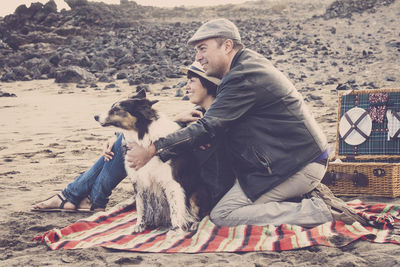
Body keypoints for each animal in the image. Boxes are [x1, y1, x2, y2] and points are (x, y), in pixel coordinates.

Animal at [94, 91, 206, 233]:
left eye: (117, 109)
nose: (95, 116)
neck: (142, 138)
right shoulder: (139, 181)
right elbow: (141, 206)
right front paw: (140, 225)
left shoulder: (172, 183)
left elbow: (175, 210)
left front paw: (176, 230)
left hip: (196, 194)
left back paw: (195, 224)